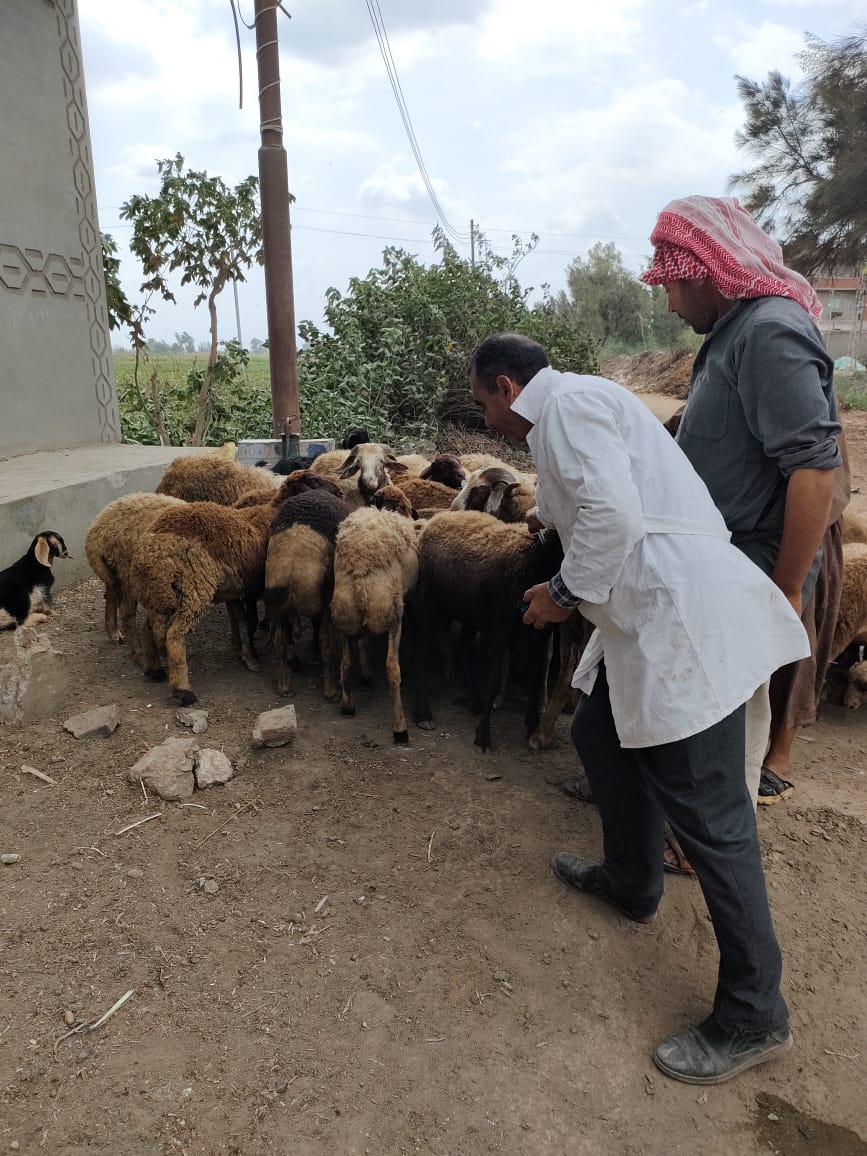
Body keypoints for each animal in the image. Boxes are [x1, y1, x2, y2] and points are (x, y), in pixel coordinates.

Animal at [263, 489, 351, 698]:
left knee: (280, 644)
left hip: (279, 607)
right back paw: (329, 690)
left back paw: (285, 686)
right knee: (326, 642)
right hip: (324, 600)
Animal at [330, 485, 419, 743]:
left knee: (345, 662)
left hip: (344, 617)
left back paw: (348, 706)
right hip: (392, 615)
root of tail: (361, 569)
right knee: (392, 668)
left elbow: (362, 643)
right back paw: (400, 729)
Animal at [412, 511, 563, 752]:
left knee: (463, 649)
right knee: (420, 653)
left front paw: (533, 728)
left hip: (469, 611)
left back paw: (474, 701)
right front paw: (483, 736)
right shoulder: (499, 631)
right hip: (427, 601)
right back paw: (423, 714)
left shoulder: (540, 633)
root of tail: (434, 519)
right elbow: (493, 682)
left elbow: (535, 679)